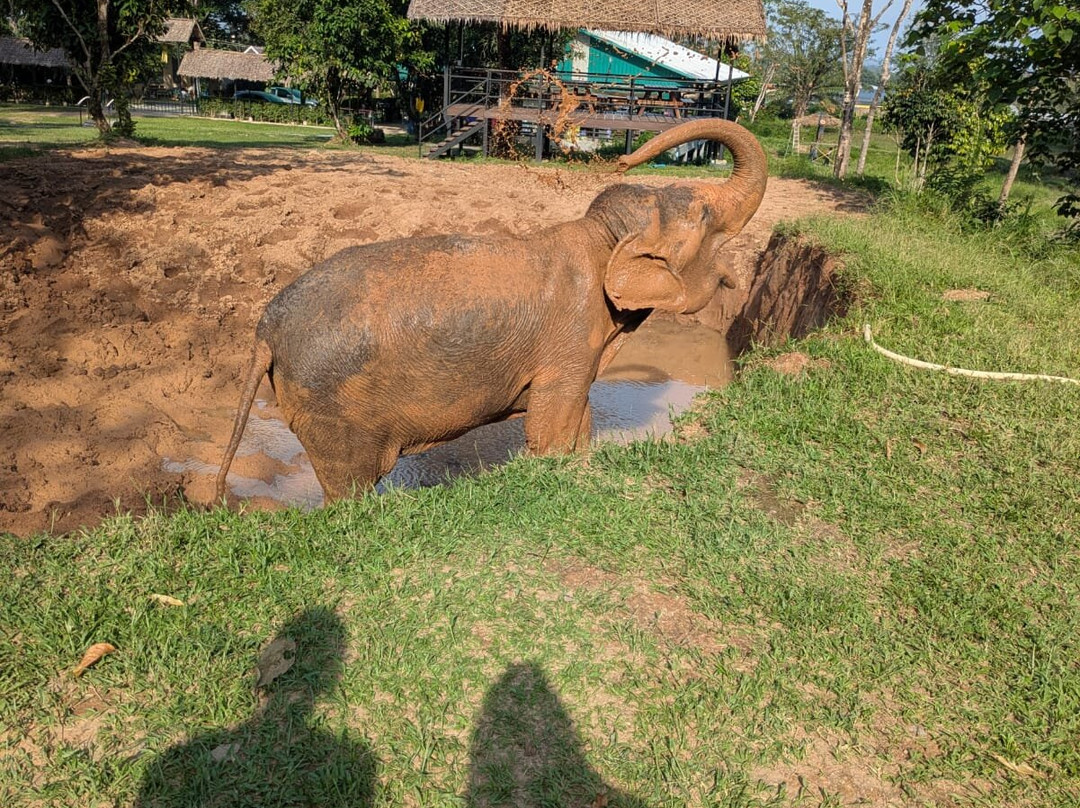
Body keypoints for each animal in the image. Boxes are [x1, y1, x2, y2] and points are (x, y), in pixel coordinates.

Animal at [216, 119, 767, 502]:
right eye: (704, 215)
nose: (622, 160)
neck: (603, 238)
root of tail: (264, 329)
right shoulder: (570, 339)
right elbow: (549, 431)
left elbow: (578, 419)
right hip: (330, 408)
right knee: (348, 489)